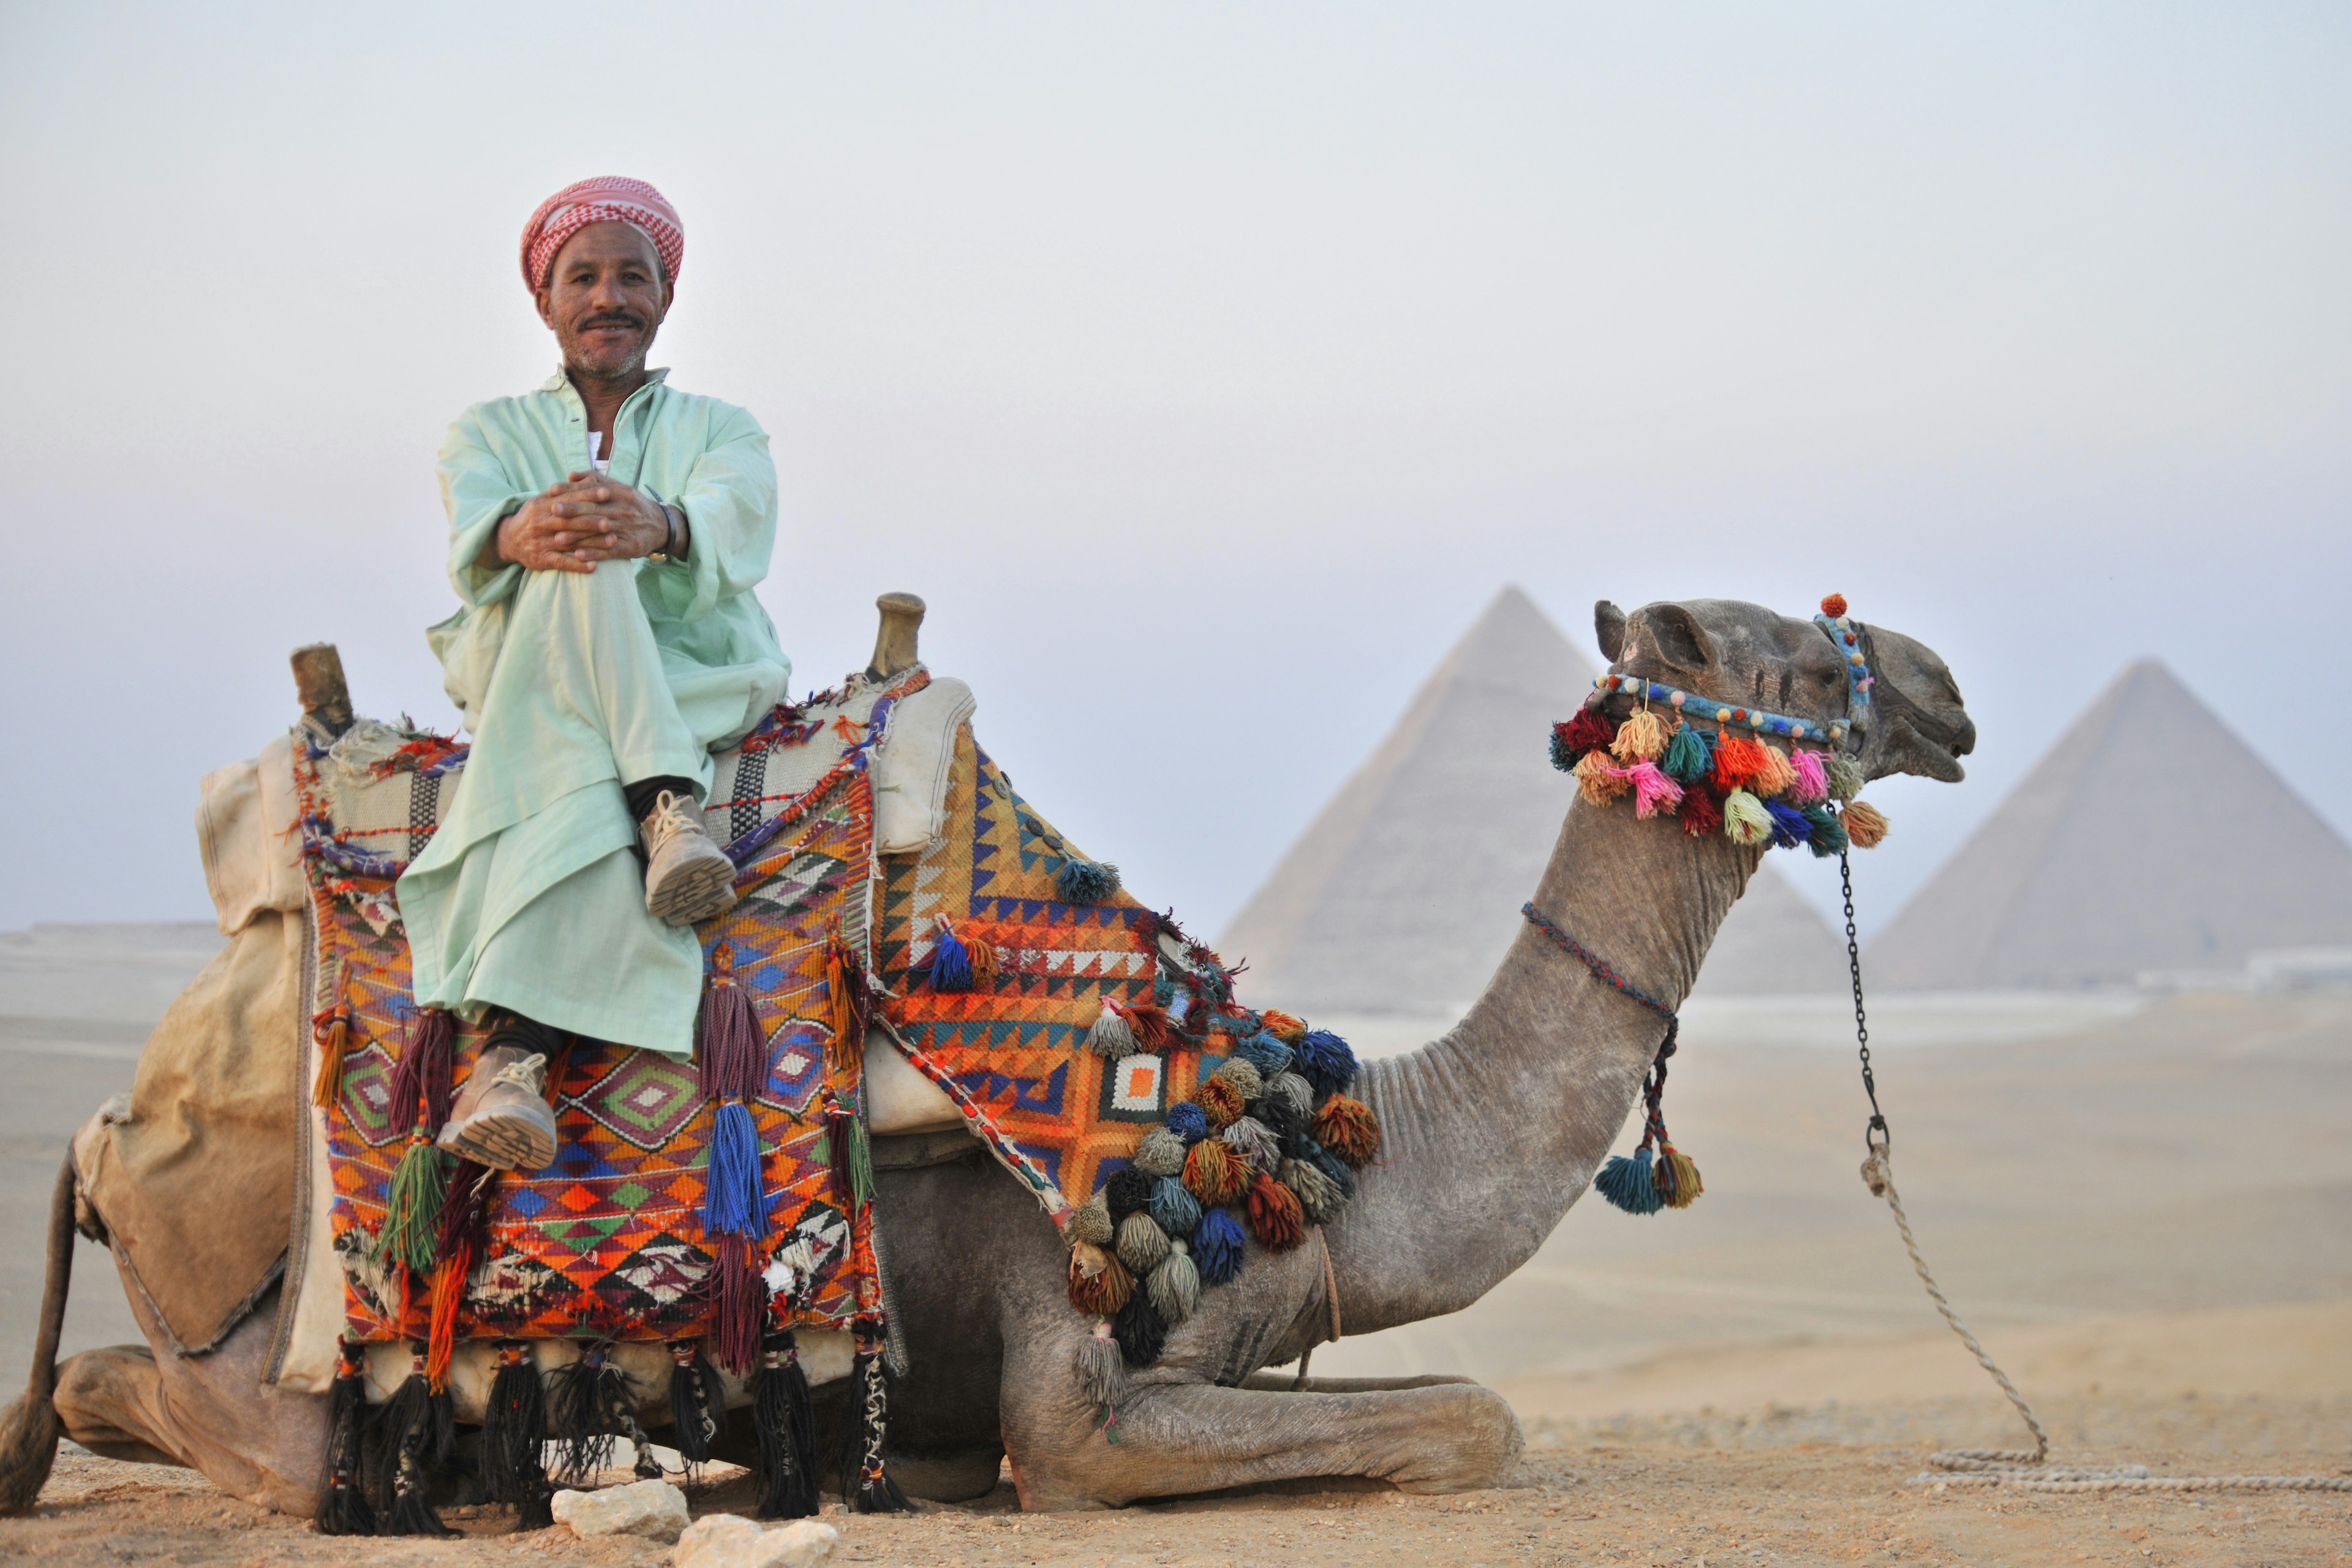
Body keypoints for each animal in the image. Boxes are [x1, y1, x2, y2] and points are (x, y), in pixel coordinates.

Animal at [0, 592, 1966, 1523]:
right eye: (1802, 658)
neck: (1333, 1150)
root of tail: (111, 1126)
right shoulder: (1075, 1370)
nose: (1943, 686)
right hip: (295, 1346)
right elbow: (1472, 1420)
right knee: (172, 1399)